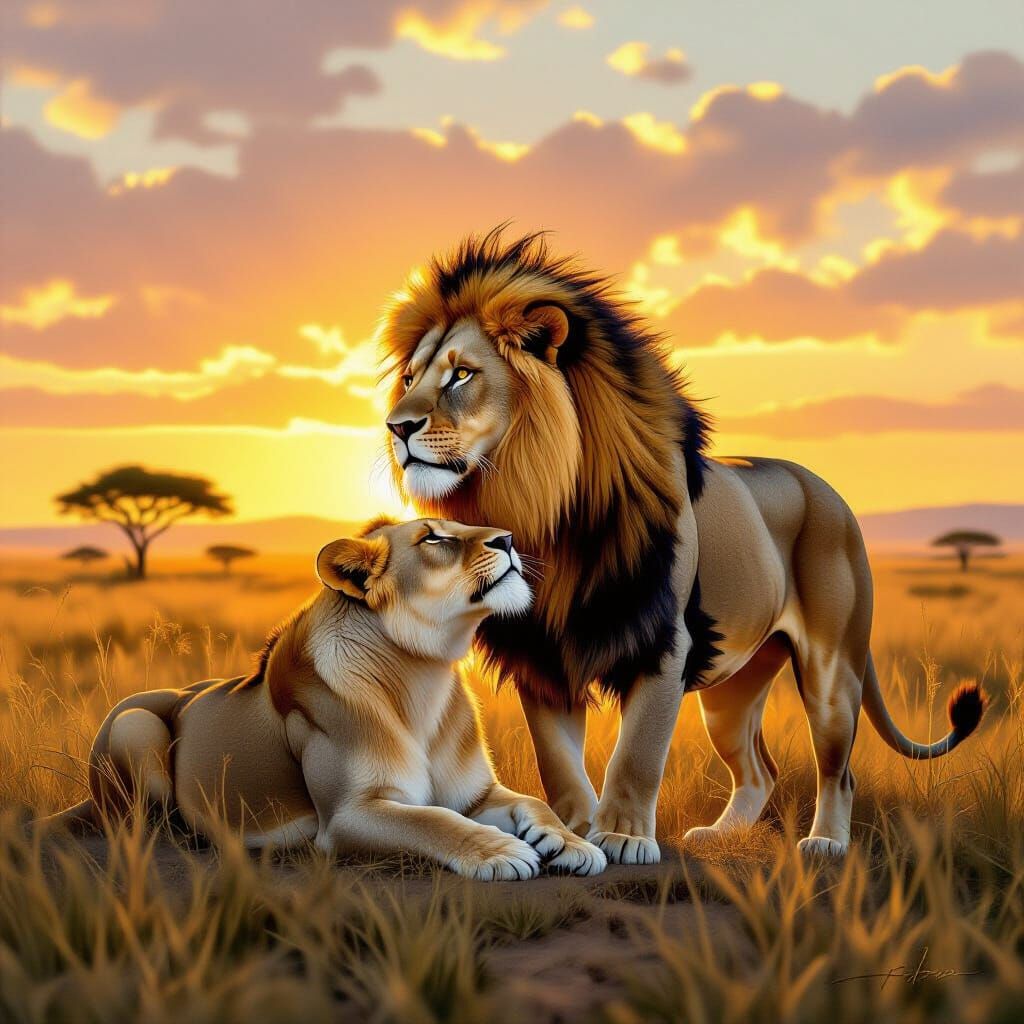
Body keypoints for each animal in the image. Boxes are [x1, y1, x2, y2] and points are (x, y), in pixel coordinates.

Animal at [44, 516, 607, 880]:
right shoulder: (348, 816)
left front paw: (571, 843)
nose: (510, 538)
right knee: (143, 826)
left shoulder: (477, 795)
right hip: (134, 722)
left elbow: (532, 801)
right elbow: (433, 820)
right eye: (433, 537)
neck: (421, 674)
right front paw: (499, 852)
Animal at [379, 228, 987, 863]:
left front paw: (623, 835)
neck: (547, 508)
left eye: (461, 375)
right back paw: (722, 835)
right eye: (410, 378)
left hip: (830, 670)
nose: (397, 426)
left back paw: (824, 843)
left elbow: (638, 753)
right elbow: (559, 762)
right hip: (731, 692)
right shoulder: (546, 651)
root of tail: (829, 492)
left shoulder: (664, 642)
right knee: (760, 770)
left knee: (838, 770)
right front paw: (574, 832)